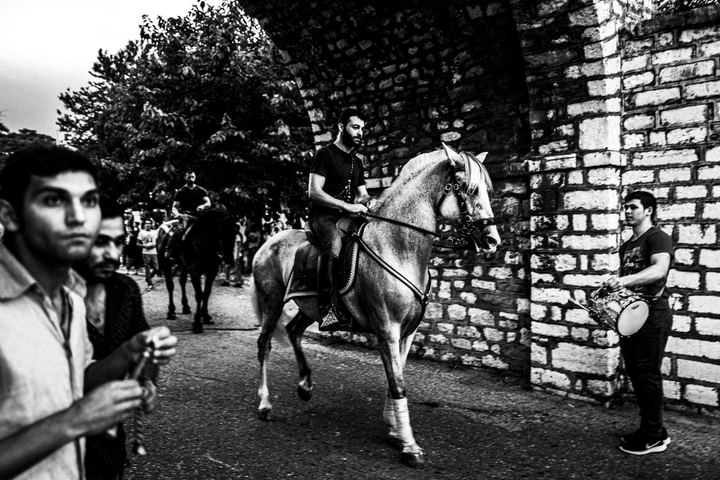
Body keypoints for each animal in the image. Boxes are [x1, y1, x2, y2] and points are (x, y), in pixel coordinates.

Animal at [251, 144, 501, 468]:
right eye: (470, 189)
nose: (492, 240)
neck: (399, 247)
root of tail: (267, 243)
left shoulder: (407, 332)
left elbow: (396, 376)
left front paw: (394, 428)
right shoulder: (387, 328)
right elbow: (398, 382)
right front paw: (409, 445)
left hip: (310, 308)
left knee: (294, 331)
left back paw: (305, 384)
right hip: (271, 302)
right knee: (265, 344)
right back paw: (265, 403)